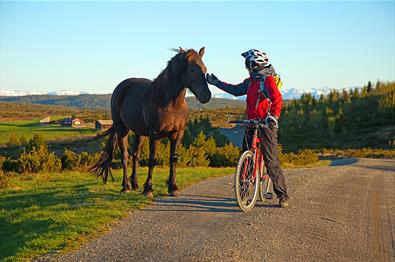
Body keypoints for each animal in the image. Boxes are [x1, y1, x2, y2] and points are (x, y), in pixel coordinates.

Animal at [91, 48, 212, 198]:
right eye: (192, 70)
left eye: (205, 70)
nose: (206, 96)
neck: (171, 104)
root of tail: (121, 87)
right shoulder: (155, 134)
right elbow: (152, 160)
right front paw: (148, 189)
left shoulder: (177, 134)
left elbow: (173, 159)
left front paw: (173, 187)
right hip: (122, 130)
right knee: (125, 156)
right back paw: (126, 187)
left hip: (140, 133)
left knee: (135, 155)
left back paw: (135, 184)